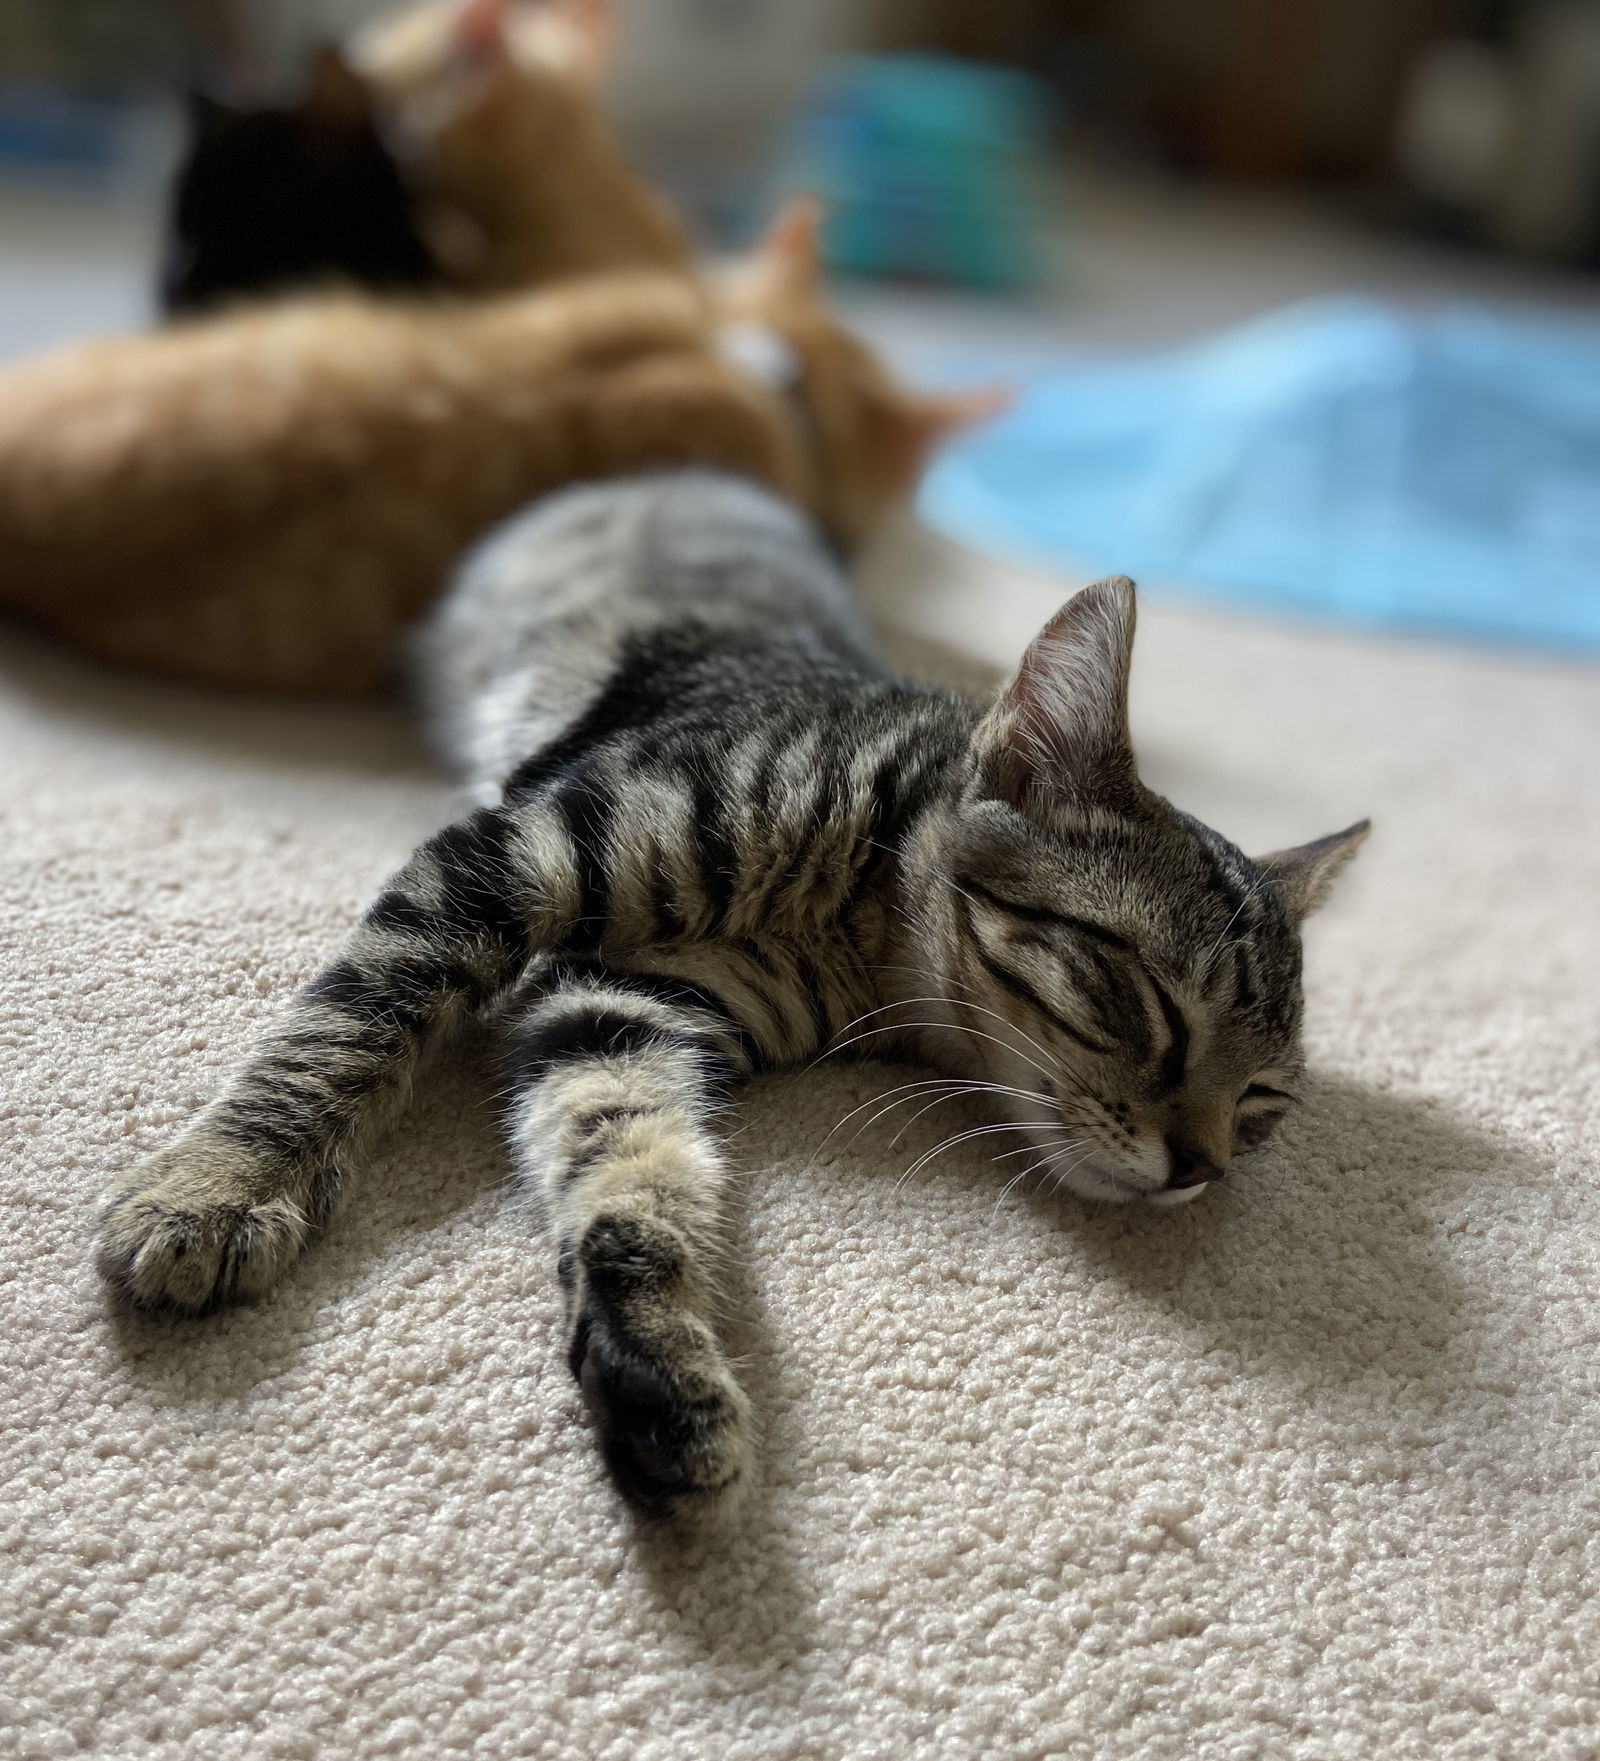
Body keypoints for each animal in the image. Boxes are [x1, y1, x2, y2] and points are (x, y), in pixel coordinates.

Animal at [93, 475, 1358, 1521]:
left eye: (1261, 1101)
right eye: (1145, 1002)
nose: (1202, 1167)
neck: (854, 923)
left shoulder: (625, 1005)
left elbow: (627, 1170)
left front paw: (657, 1372)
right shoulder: (512, 858)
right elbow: (343, 1026)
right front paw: (216, 1186)